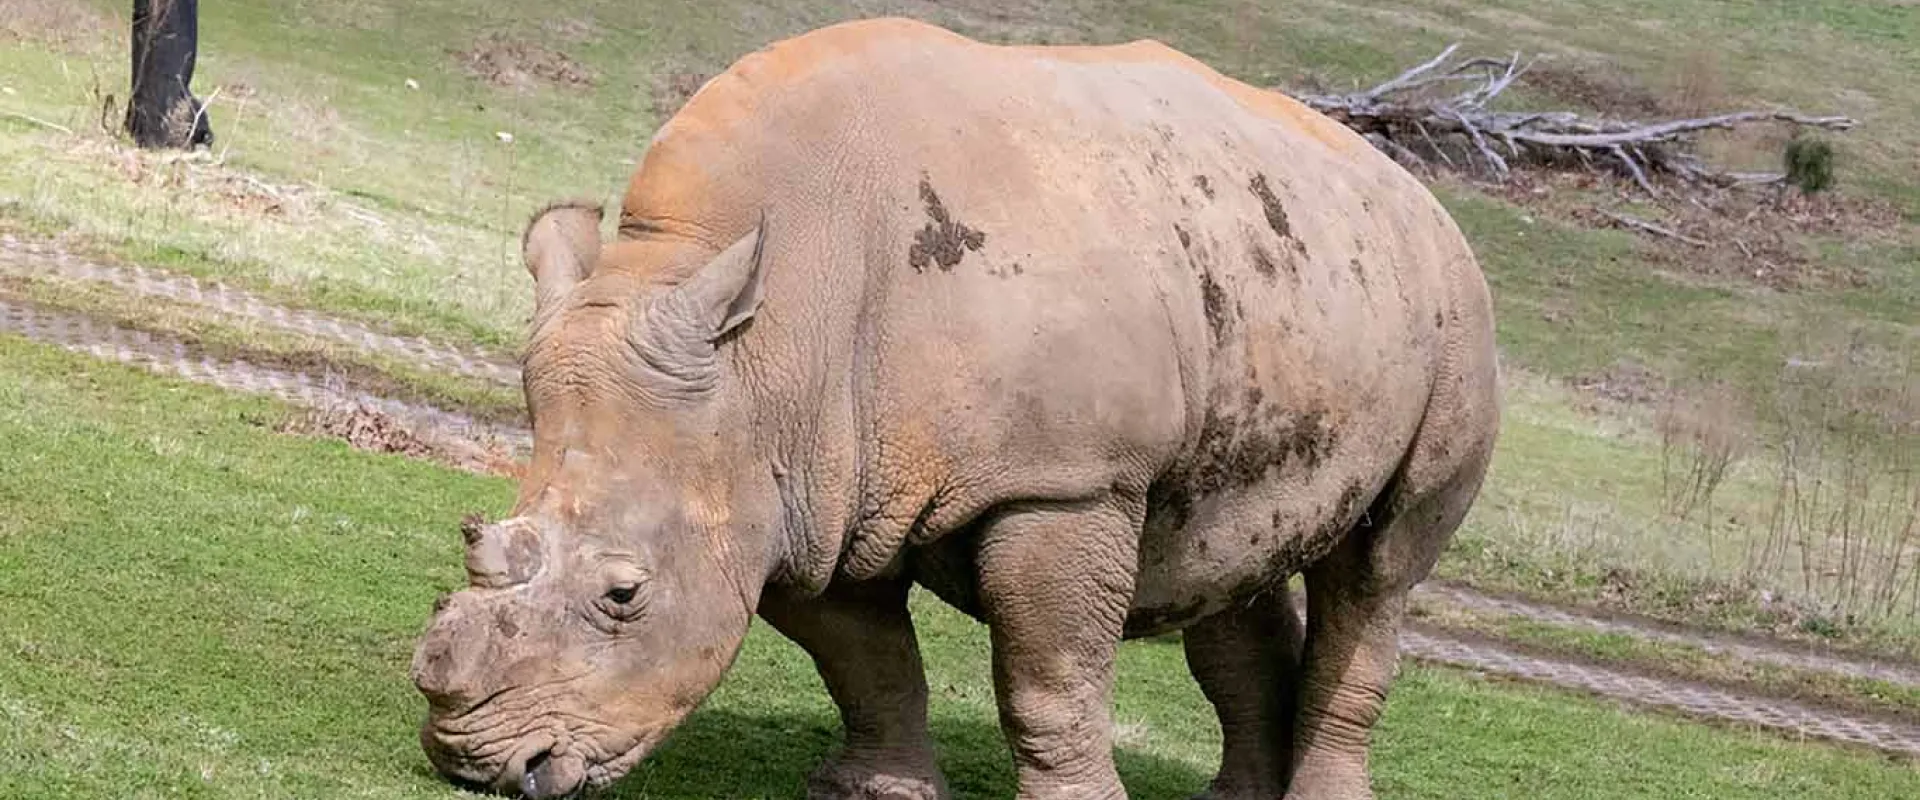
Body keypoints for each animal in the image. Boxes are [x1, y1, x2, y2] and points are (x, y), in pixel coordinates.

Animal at [411, 17, 1498, 800]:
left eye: (624, 595)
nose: (483, 766)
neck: (768, 352)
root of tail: (1419, 194)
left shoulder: (1066, 480)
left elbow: (1050, 673)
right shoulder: (813, 478)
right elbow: (865, 654)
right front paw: (874, 790)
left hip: (1459, 315)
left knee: (1380, 567)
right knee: (1223, 551)